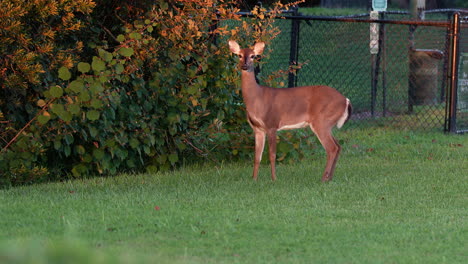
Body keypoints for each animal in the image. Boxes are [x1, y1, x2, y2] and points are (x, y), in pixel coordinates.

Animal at [229, 40, 352, 183]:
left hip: (322, 121)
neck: (257, 98)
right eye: (239, 55)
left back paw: (323, 178)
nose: (244, 65)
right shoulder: (257, 129)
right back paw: (329, 178)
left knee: (331, 148)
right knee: (338, 146)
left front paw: (274, 178)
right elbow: (257, 156)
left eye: (253, 56)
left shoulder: (272, 124)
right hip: (327, 124)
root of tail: (345, 100)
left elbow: (272, 155)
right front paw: (254, 179)